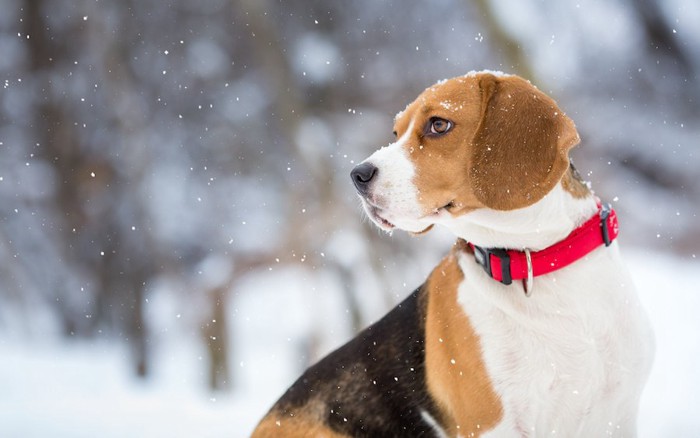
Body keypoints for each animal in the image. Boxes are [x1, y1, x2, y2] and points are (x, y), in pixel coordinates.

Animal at [253, 70, 656, 436]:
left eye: (438, 124)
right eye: (396, 133)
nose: (357, 175)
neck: (539, 261)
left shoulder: (617, 415)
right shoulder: (492, 426)